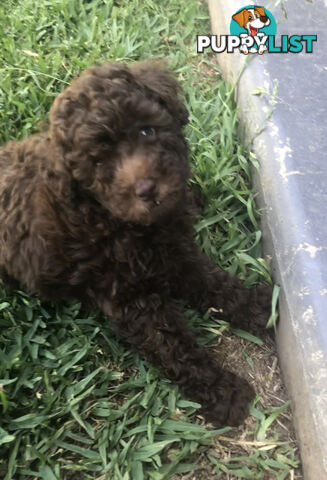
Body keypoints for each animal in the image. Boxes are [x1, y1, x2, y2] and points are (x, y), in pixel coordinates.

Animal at [0, 62, 272, 426]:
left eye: (146, 131)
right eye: (98, 162)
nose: (147, 189)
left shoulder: (176, 253)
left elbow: (215, 284)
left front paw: (256, 306)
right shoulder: (132, 298)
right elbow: (173, 346)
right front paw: (221, 391)